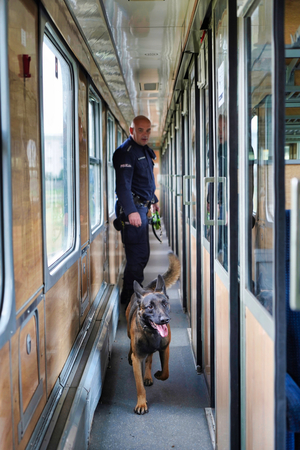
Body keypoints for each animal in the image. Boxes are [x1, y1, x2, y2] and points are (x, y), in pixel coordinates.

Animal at [125, 251, 179, 414]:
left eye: (165, 304)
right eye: (150, 307)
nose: (164, 320)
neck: (152, 333)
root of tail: (147, 289)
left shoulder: (165, 349)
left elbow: (166, 372)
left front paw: (158, 374)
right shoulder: (137, 359)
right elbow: (139, 386)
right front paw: (141, 403)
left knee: (149, 359)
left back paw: (148, 375)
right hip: (129, 336)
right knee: (131, 347)